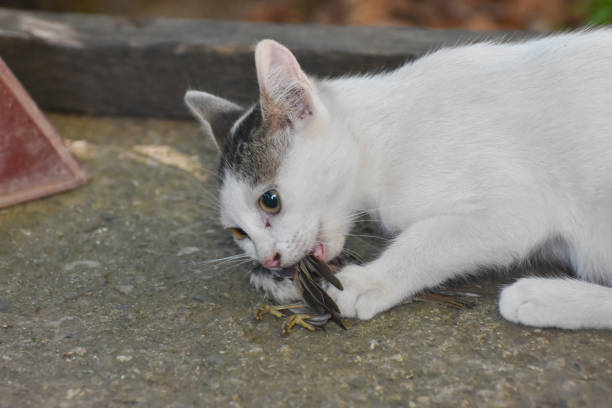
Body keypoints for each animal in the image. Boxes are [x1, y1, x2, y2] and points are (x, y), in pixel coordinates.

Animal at [185, 31, 612, 332]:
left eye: (270, 200)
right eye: (239, 233)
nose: (267, 257)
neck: (383, 138)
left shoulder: (518, 207)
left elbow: (427, 242)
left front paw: (368, 282)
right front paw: (283, 280)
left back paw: (542, 295)